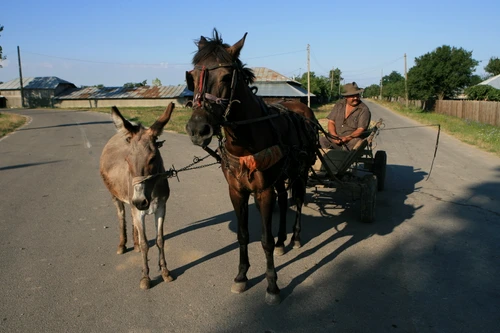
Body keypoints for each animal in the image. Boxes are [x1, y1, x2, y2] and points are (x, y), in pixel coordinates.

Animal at [98, 102, 175, 288]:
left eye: (153, 159)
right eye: (127, 160)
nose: (141, 202)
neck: (151, 189)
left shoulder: (161, 207)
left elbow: (160, 240)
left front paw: (165, 272)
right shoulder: (138, 208)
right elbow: (145, 242)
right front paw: (145, 278)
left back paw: (134, 243)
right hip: (115, 196)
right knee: (121, 215)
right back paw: (122, 245)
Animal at [186, 29, 318, 304]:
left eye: (226, 77)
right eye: (192, 77)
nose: (197, 129)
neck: (245, 142)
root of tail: (303, 109)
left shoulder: (262, 191)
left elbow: (264, 239)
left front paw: (272, 285)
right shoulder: (236, 191)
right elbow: (243, 235)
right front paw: (241, 276)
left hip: (299, 171)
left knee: (299, 200)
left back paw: (295, 237)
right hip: (281, 174)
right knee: (283, 200)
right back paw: (282, 241)